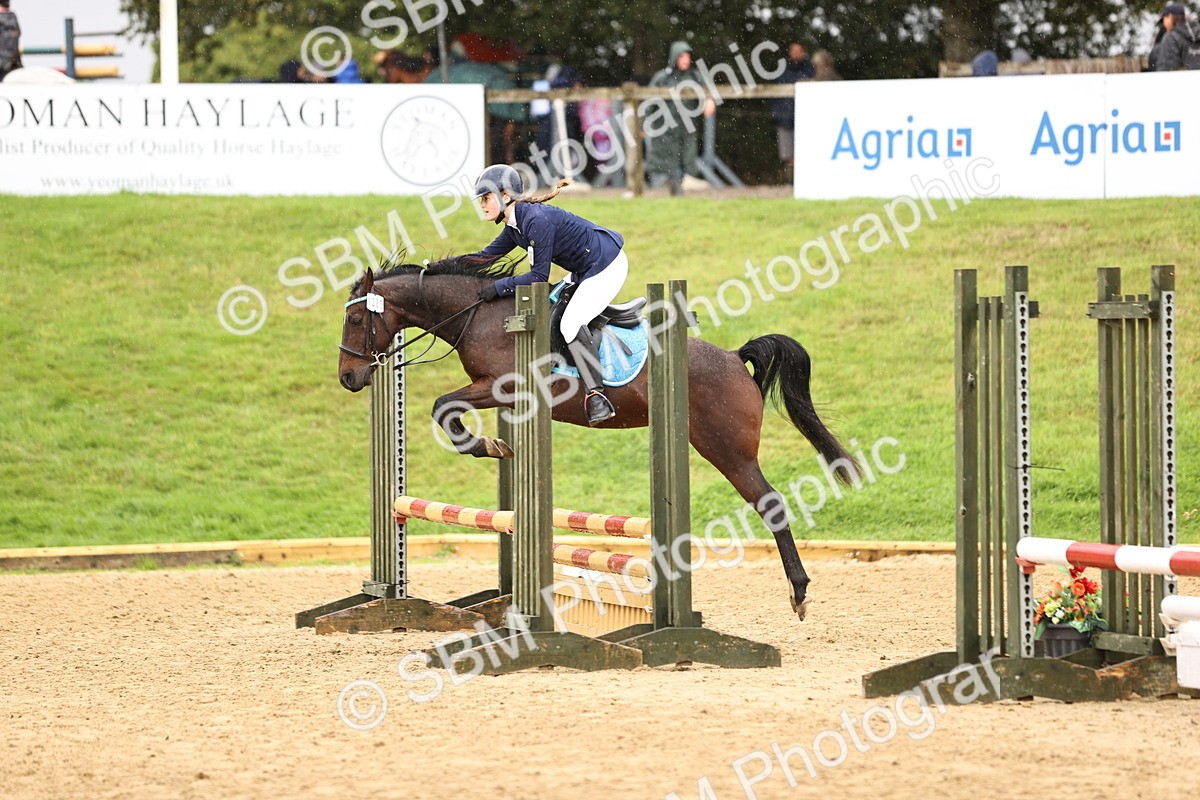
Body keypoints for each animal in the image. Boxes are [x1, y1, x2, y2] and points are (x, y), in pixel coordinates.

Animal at [337, 256, 858, 620]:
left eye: (357, 321)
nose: (348, 377)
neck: (480, 316)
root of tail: (734, 358)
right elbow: (449, 410)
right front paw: (498, 447)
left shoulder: (500, 386)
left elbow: (443, 407)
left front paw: (487, 446)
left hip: (727, 450)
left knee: (770, 504)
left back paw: (798, 593)